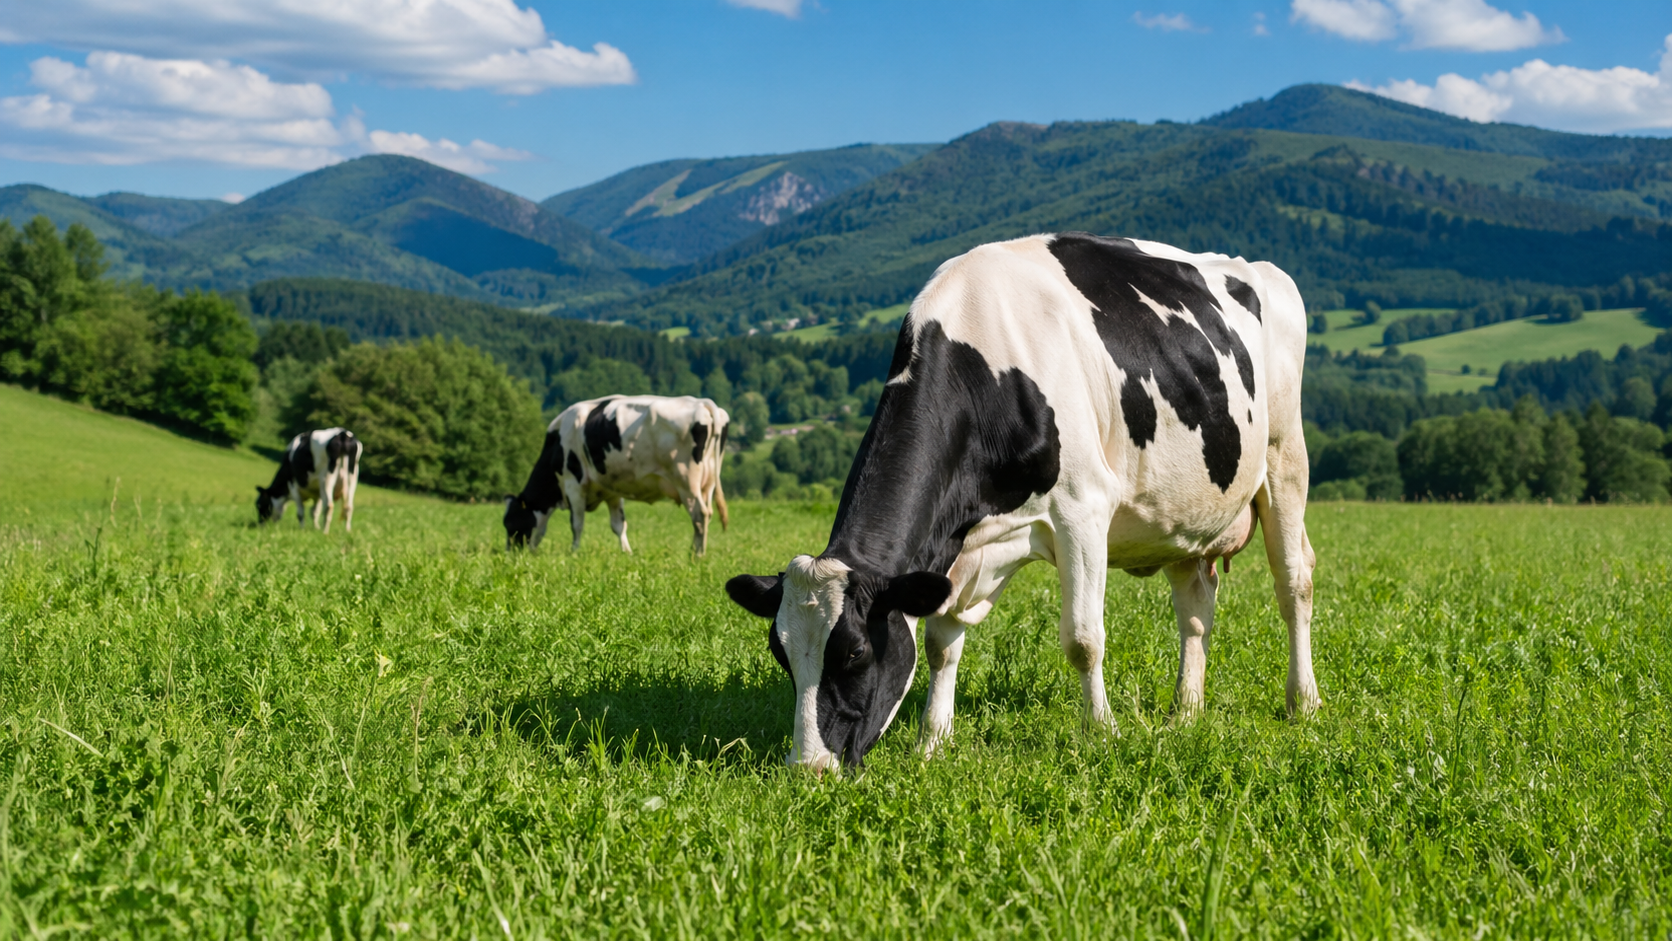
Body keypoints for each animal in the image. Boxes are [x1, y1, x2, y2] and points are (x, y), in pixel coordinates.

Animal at [504, 395, 730, 555]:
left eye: (509, 522)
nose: (509, 553)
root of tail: (702, 403)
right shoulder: (612, 490)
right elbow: (619, 525)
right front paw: (627, 552)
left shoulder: (574, 483)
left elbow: (576, 524)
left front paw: (574, 552)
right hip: (708, 483)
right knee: (707, 513)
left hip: (686, 481)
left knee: (700, 515)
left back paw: (697, 555)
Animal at [725, 233, 1320, 772]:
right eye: (780, 653)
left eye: (853, 652)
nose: (808, 767)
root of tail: (1256, 266)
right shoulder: (960, 544)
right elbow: (940, 641)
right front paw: (932, 743)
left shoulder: (1083, 508)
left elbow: (1083, 638)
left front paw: (1102, 733)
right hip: (1182, 518)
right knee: (1195, 606)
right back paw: (1186, 712)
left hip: (1284, 456)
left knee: (1294, 581)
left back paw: (1303, 702)